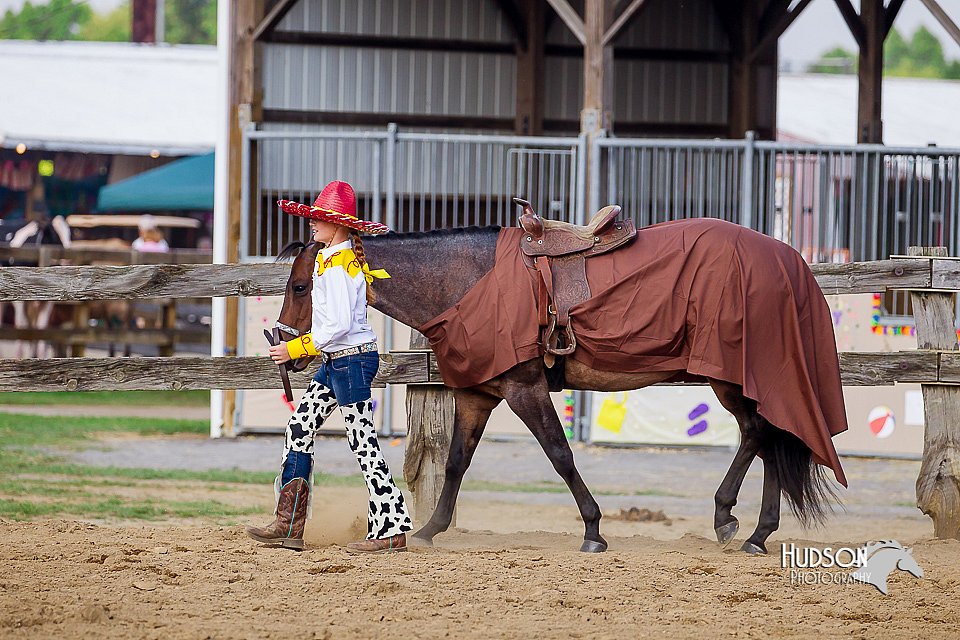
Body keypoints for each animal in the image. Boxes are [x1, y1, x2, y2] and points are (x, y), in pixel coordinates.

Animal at [274, 208, 844, 552]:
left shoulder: (524, 390)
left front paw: (593, 528)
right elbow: (457, 461)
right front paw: (432, 528)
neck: (472, 279)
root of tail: (786, 257)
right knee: (768, 437)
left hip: (731, 378)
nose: (281, 342)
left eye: (302, 285)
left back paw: (734, 520)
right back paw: (756, 531)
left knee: (759, 433)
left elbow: (559, 453)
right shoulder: (478, 395)